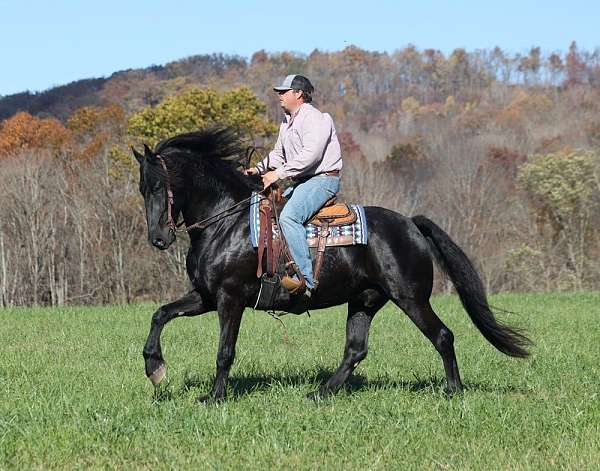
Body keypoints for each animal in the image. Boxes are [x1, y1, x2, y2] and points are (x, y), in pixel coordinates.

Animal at [131, 128, 528, 402]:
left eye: (160, 185)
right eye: (142, 188)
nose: (158, 239)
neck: (226, 222)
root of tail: (411, 224)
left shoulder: (230, 298)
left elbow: (224, 351)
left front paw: (214, 397)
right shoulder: (205, 296)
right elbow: (160, 314)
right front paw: (154, 368)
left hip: (411, 298)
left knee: (442, 335)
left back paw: (453, 390)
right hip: (365, 300)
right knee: (356, 349)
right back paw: (321, 392)